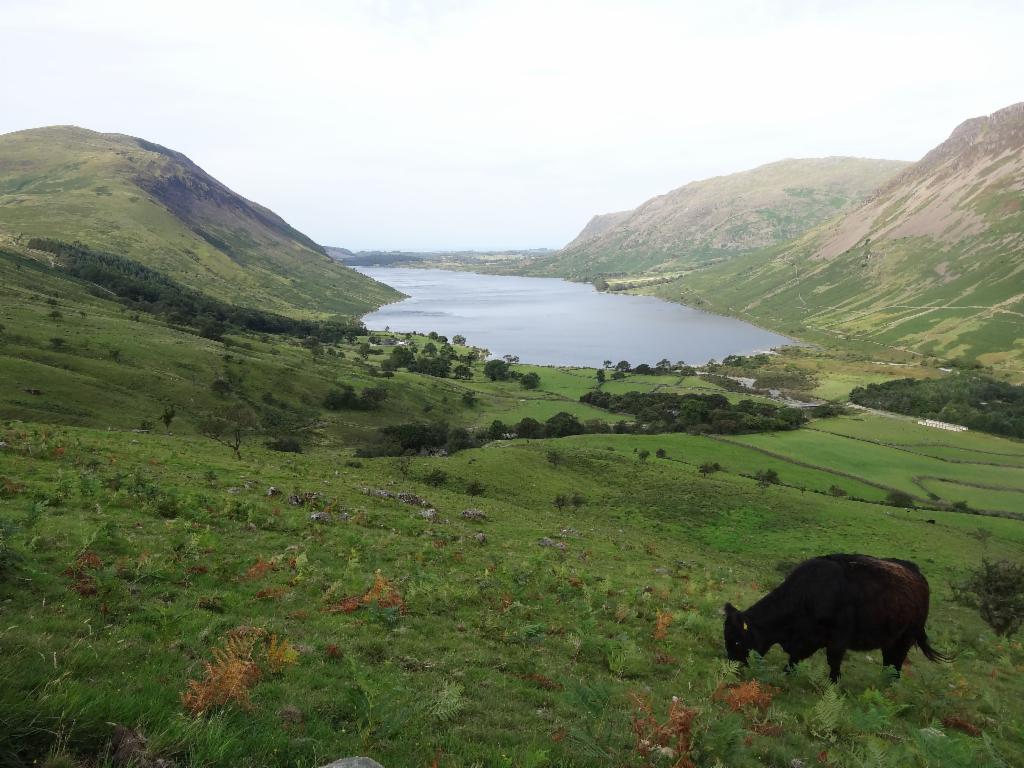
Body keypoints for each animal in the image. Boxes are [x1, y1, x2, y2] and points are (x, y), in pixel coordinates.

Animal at [720, 557, 950, 684]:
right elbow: (794, 659)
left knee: (896, 666)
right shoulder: (806, 639)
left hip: (905, 639)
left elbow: (833, 661)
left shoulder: (838, 639)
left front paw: (833, 684)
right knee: (889, 664)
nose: (732, 667)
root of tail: (918, 575)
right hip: (890, 641)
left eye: (738, 641)